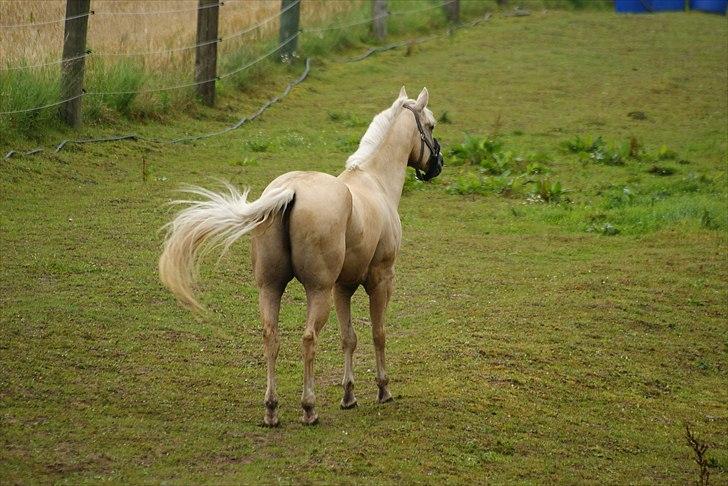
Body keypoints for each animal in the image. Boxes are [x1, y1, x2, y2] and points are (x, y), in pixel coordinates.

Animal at [160, 87, 444, 426]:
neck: (374, 183)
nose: (438, 164)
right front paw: (383, 390)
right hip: (317, 291)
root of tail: (291, 191)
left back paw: (272, 409)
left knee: (271, 337)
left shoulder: (343, 287)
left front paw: (349, 396)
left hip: (271, 288)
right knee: (308, 339)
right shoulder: (381, 279)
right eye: (431, 125)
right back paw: (309, 408)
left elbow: (349, 337)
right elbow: (378, 333)